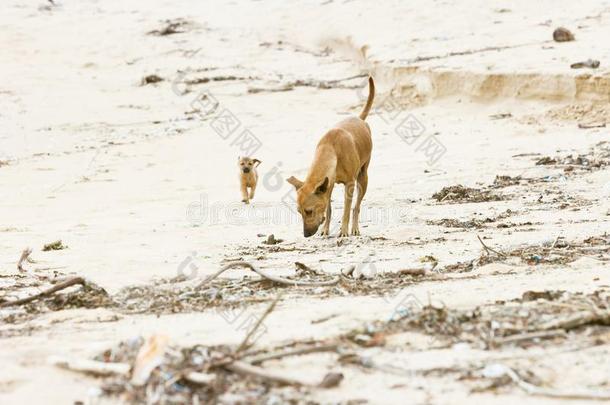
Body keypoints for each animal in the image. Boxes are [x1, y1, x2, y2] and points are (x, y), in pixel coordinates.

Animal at [286, 76, 376, 237]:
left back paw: (355, 228)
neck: (331, 150)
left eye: (309, 211)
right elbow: (328, 210)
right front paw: (325, 229)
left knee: (356, 207)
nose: (306, 235)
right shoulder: (328, 186)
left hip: (363, 178)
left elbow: (346, 211)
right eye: (299, 212)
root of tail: (359, 119)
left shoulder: (349, 185)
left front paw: (344, 231)